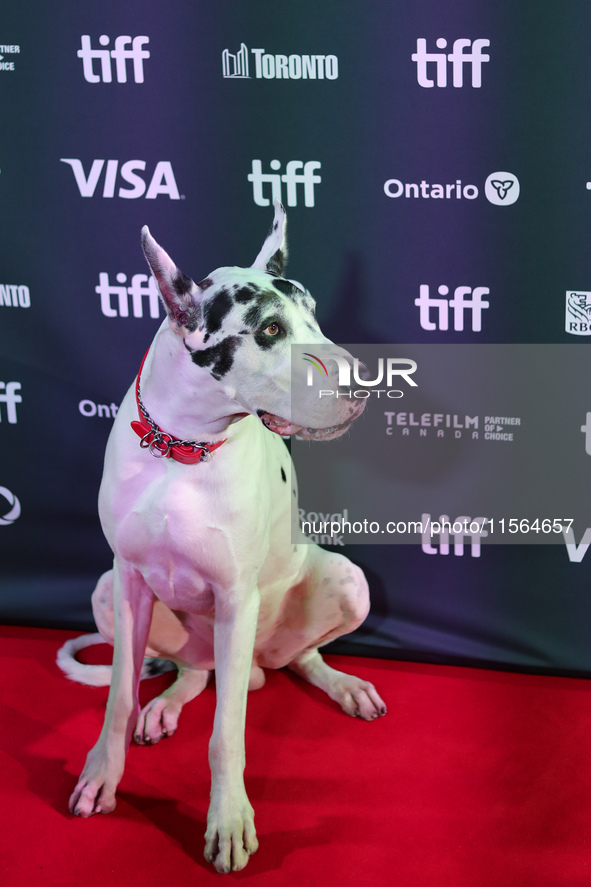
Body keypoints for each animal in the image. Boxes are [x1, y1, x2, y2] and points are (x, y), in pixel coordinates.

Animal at [57, 201, 386, 876]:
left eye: (314, 314)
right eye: (268, 330)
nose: (362, 382)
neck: (181, 449)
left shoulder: (236, 597)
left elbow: (226, 733)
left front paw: (228, 819)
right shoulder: (128, 580)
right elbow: (118, 698)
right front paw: (103, 774)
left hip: (345, 584)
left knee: (295, 661)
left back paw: (341, 684)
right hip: (109, 595)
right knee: (193, 672)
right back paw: (167, 700)